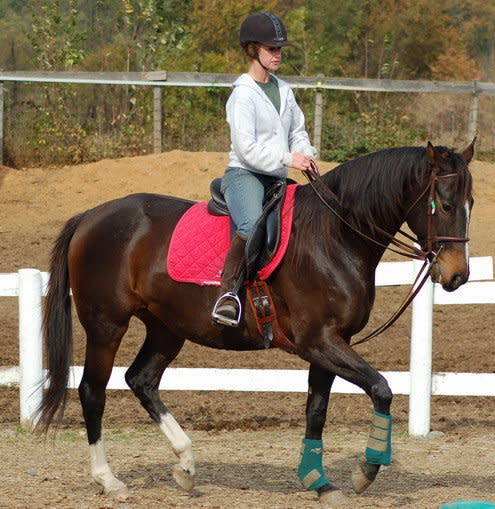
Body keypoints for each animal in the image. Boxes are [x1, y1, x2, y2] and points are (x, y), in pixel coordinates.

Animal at [36, 140, 474, 504]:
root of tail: (91, 215)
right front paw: (366, 470)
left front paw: (317, 479)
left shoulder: (331, 344)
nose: (457, 275)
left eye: (470, 202)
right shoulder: (320, 341)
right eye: (445, 206)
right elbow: (381, 389)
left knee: (141, 380)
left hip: (166, 328)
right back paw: (109, 479)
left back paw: (185, 465)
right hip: (106, 326)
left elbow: (317, 409)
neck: (334, 236)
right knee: (93, 392)